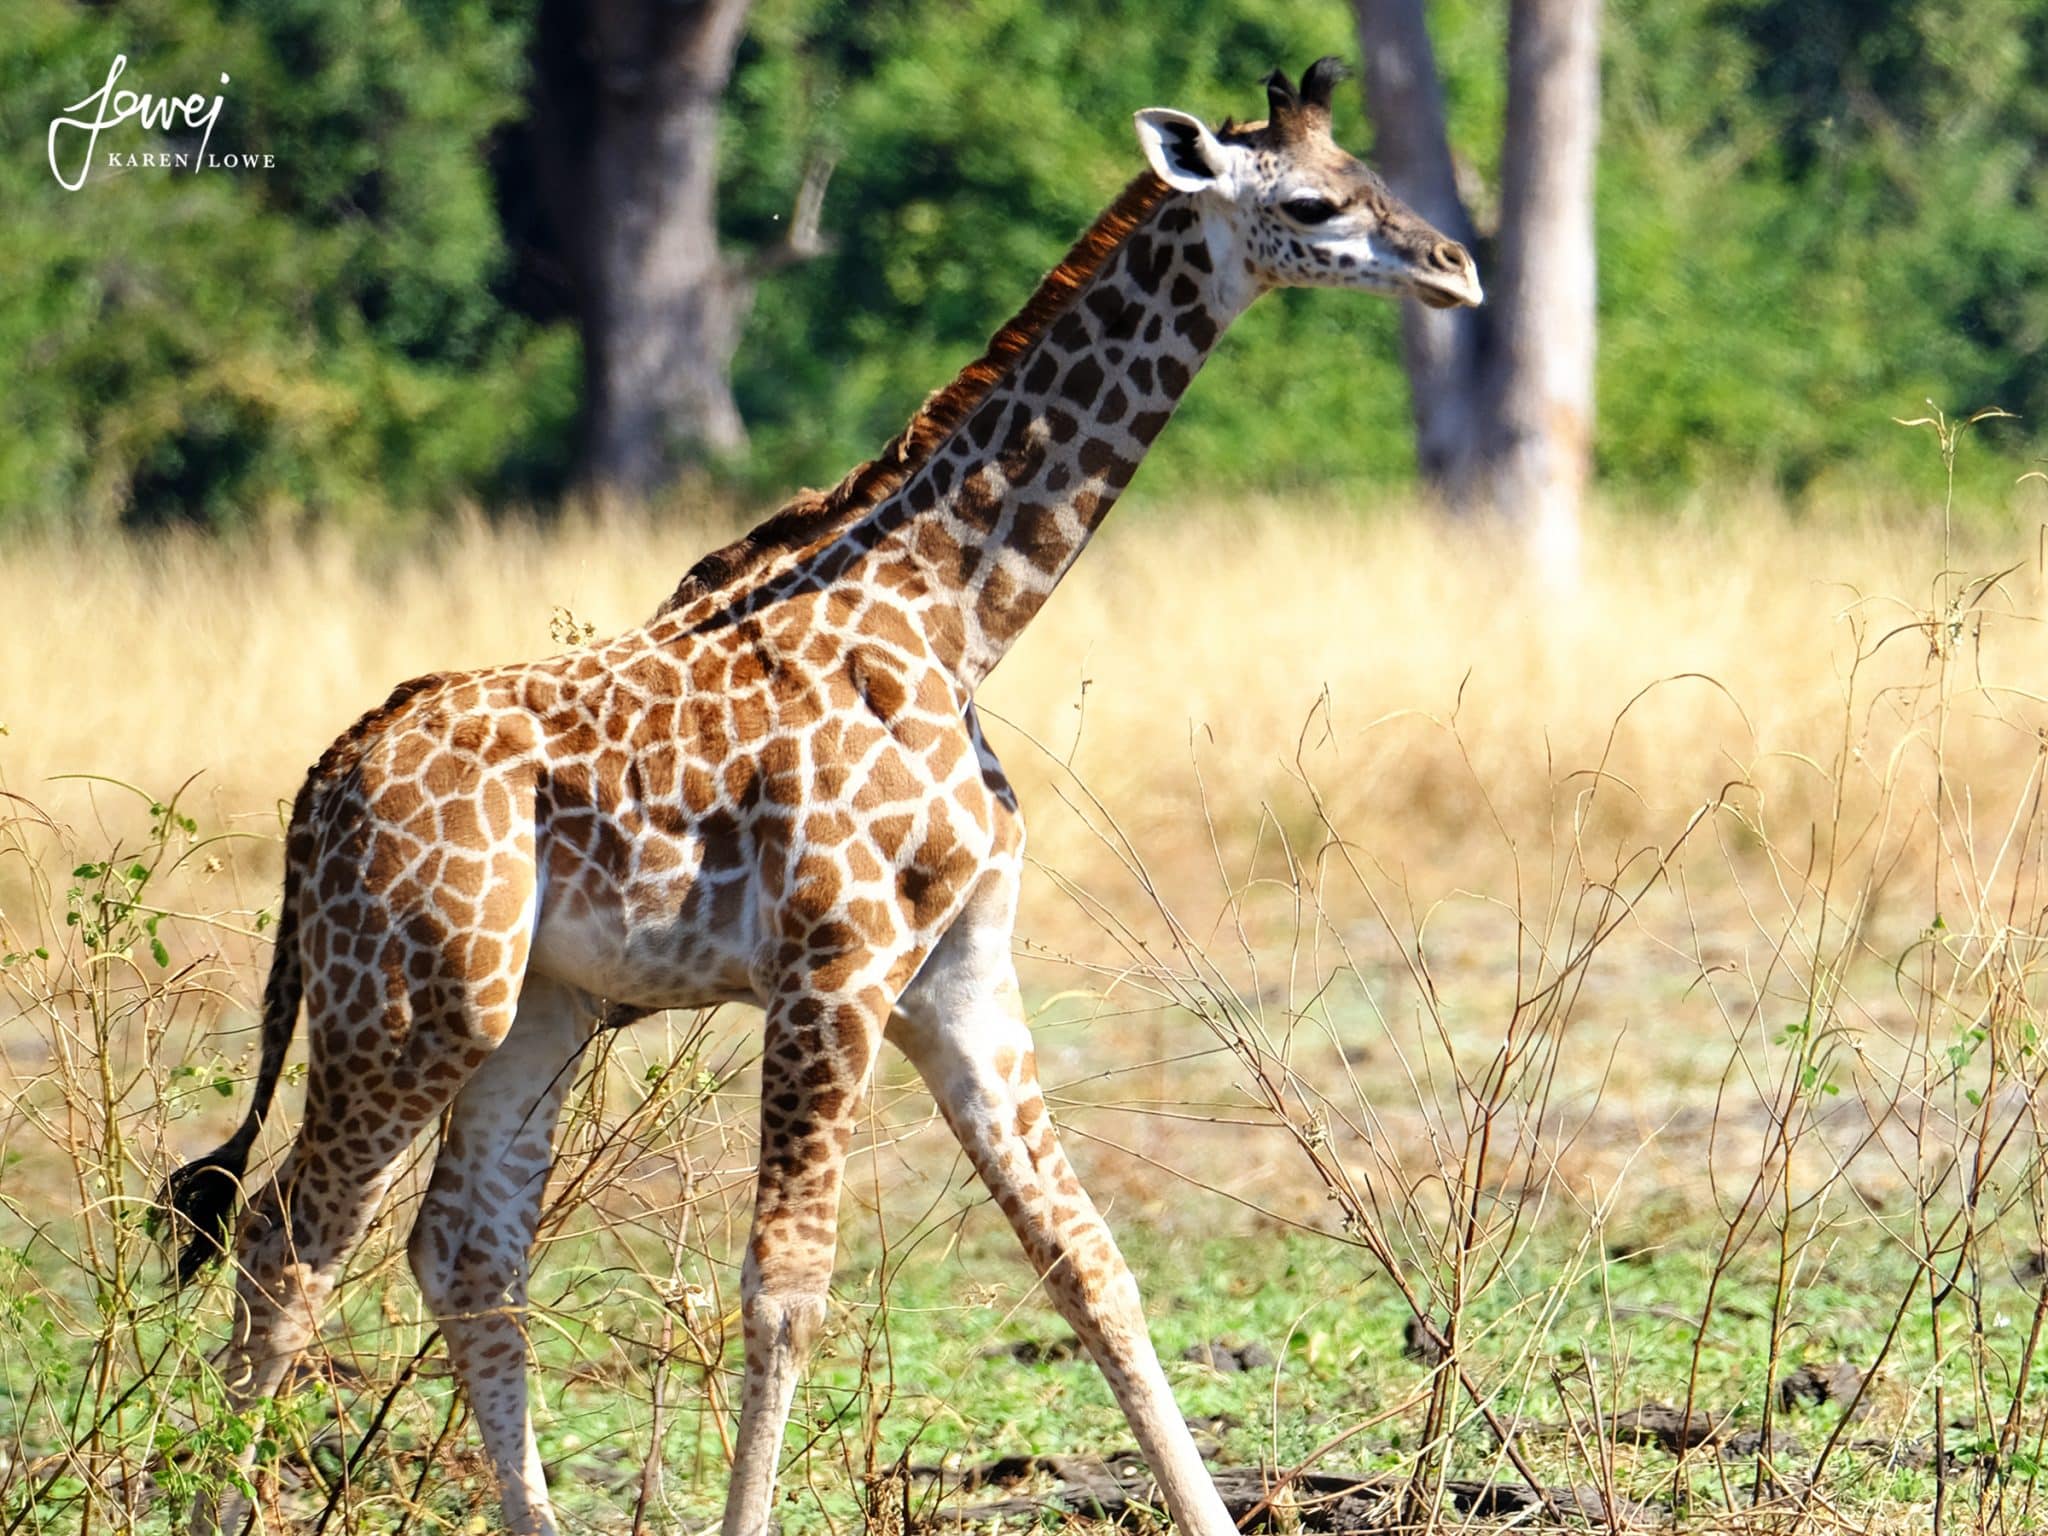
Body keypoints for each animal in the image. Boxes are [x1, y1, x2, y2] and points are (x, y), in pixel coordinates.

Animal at [159, 57, 1474, 1536]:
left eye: (1370, 175)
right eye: (1311, 202)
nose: (1456, 268)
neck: (955, 619)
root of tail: (320, 787)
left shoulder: (955, 975)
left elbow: (1086, 1262)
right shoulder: (833, 965)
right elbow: (786, 1290)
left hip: (532, 1011)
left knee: (462, 1252)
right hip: (412, 1002)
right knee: (288, 1241)